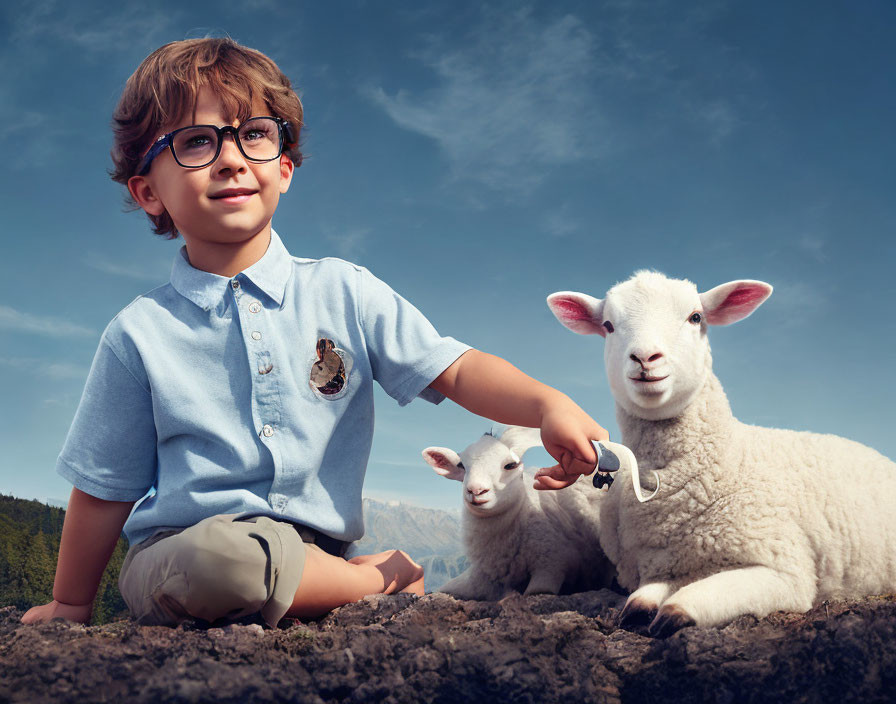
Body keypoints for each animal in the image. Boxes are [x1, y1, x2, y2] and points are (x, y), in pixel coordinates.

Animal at [422, 424, 616, 600]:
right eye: (462, 465)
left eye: (510, 465)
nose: (476, 490)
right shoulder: (483, 575)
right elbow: (444, 588)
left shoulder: (553, 562)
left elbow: (535, 591)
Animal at [544, 270, 896, 640]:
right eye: (609, 325)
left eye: (696, 317)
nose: (645, 358)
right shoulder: (665, 565)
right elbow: (642, 600)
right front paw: (642, 609)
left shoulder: (786, 569)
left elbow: (690, 602)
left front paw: (675, 612)